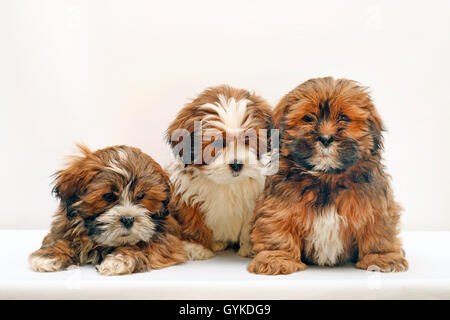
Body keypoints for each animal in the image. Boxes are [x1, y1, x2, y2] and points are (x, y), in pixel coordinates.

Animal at [29, 144, 186, 276]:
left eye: (141, 196)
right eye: (109, 196)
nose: (128, 219)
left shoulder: (168, 237)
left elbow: (144, 245)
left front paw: (119, 260)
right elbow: (60, 238)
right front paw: (48, 256)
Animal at [165, 85, 270, 260]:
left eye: (247, 140)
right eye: (217, 143)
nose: (236, 164)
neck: (225, 183)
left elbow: (249, 224)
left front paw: (249, 248)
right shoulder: (186, 194)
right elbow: (192, 221)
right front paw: (197, 247)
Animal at [248, 77, 410, 276]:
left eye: (344, 118)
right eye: (308, 118)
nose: (325, 138)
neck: (326, 179)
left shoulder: (376, 206)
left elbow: (378, 232)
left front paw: (381, 257)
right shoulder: (278, 208)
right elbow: (277, 231)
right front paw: (276, 258)